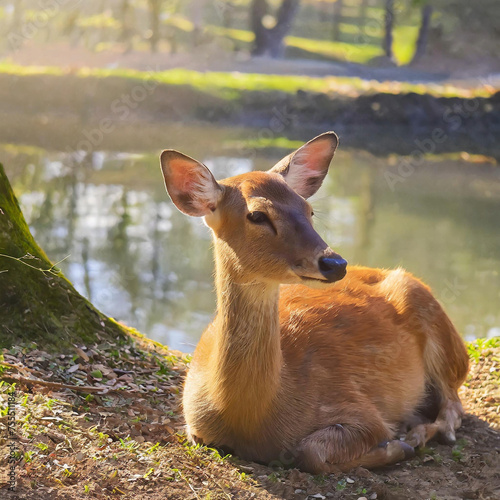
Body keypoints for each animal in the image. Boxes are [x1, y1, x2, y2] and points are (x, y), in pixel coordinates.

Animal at [159, 130, 468, 472]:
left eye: (309, 210)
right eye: (257, 215)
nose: (335, 263)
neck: (248, 417)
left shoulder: (360, 408)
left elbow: (312, 452)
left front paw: (395, 445)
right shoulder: (194, 423)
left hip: (438, 328)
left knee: (454, 404)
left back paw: (416, 433)